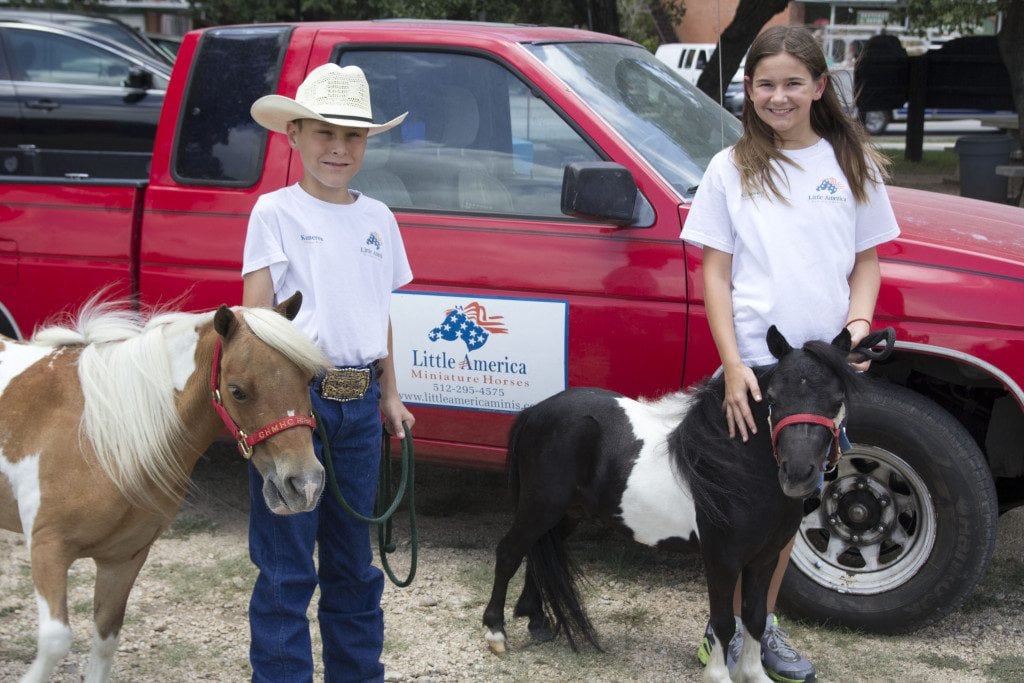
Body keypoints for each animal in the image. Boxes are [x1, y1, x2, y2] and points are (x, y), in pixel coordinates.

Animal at [0, 292, 327, 683]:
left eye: (308, 379)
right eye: (238, 391)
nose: (305, 484)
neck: (98, 434)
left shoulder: (123, 560)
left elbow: (105, 640)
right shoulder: (47, 548)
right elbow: (54, 641)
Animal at [483, 327, 860, 683]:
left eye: (837, 399)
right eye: (772, 398)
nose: (797, 474)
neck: (733, 467)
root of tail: (535, 411)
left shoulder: (764, 559)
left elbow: (755, 618)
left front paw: (754, 674)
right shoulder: (722, 559)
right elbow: (724, 621)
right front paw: (718, 675)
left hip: (565, 513)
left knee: (537, 550)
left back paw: (537, 622)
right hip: (540, 505)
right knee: (509, 551)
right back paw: (495, 632)